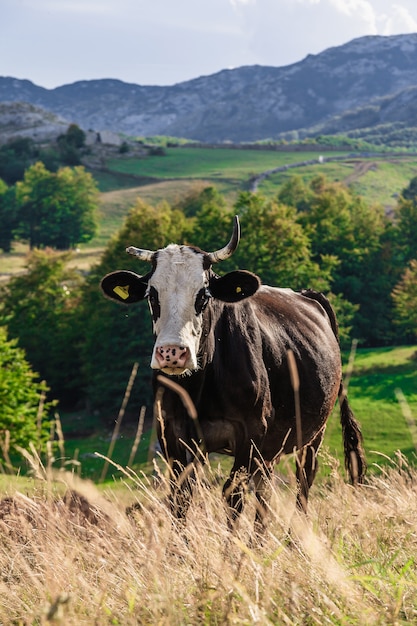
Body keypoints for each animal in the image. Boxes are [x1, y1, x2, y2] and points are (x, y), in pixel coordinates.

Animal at [101, 214, 364, 528]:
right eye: (152, 295)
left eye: (203, 295)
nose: (172, 352)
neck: (198, 388)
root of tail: (306, 294)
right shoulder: (172, 435)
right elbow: (181, 497)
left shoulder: (250, 432)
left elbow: (232, 494)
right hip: (272, 444)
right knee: (265, 487)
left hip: (313, 433)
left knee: (304, 478)